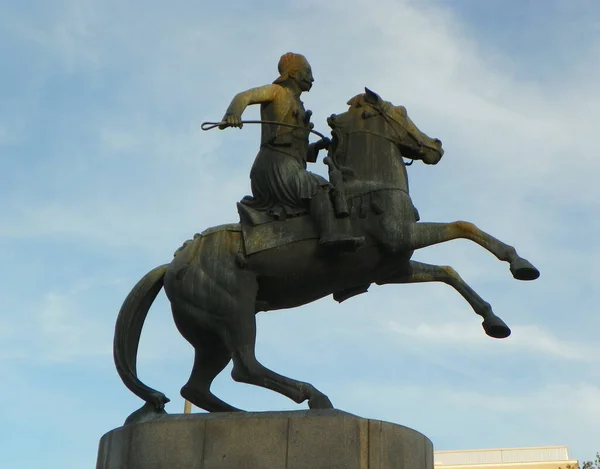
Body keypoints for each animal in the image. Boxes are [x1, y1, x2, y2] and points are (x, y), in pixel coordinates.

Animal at [112, 88, 540, 416]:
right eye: (401, 112)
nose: (435, 146)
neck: (369, 184)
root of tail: (172, 263)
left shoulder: (392, 269)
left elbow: (449, 271)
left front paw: (494, 322)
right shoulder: (404, 238)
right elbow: (464, 228)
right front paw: (520, 264)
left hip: (209, 335)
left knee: (198, 387)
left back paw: (237, 414)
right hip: (233, 313)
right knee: (244, 367)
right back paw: (312, 396)